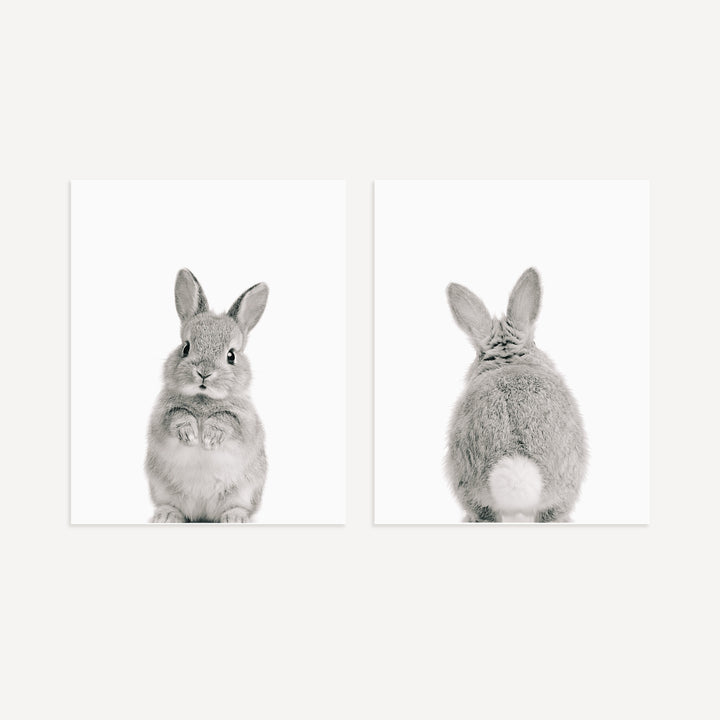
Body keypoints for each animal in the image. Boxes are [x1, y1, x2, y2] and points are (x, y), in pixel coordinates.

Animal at [145, 269, 268, 523]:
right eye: (186, 347)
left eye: (231, 355)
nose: (204, 372)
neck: (204, 399)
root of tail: (202, 513)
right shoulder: (163, 415)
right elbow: (178, 417)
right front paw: (190, 434)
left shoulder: (243, 421)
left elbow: (226, 420)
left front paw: (209, 437)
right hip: (162, 488)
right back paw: (166, 515)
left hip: (245, 490)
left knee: (237, 506)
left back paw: (235, 518)